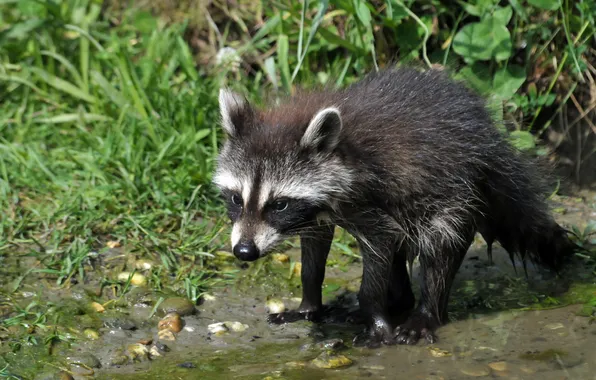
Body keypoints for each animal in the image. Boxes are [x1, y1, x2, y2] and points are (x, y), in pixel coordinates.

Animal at [213, 67, 576, 348]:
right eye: (236, 198)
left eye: (279, 204)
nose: (244, 251)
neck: (341, 149)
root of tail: (493, 140)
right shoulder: (319, 212)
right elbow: (315, 252)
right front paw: (309, 304)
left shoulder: (368, 199)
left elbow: (381, 247)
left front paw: (375, 314)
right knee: (403, 248)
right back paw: (400, 301)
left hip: (457, 190)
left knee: (439, 246)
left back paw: (426, 311)